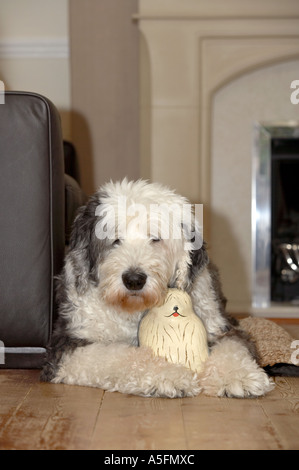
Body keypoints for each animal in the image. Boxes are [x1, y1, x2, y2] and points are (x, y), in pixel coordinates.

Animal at [41, 178, 276, 398]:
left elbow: (233, 346)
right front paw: (170, 376)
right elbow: (120, 356)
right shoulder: (68, 344)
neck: (136, 311)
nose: (134, 280)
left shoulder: (221, 326)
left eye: (155, 238)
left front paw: (239, 377)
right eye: (115, 240)